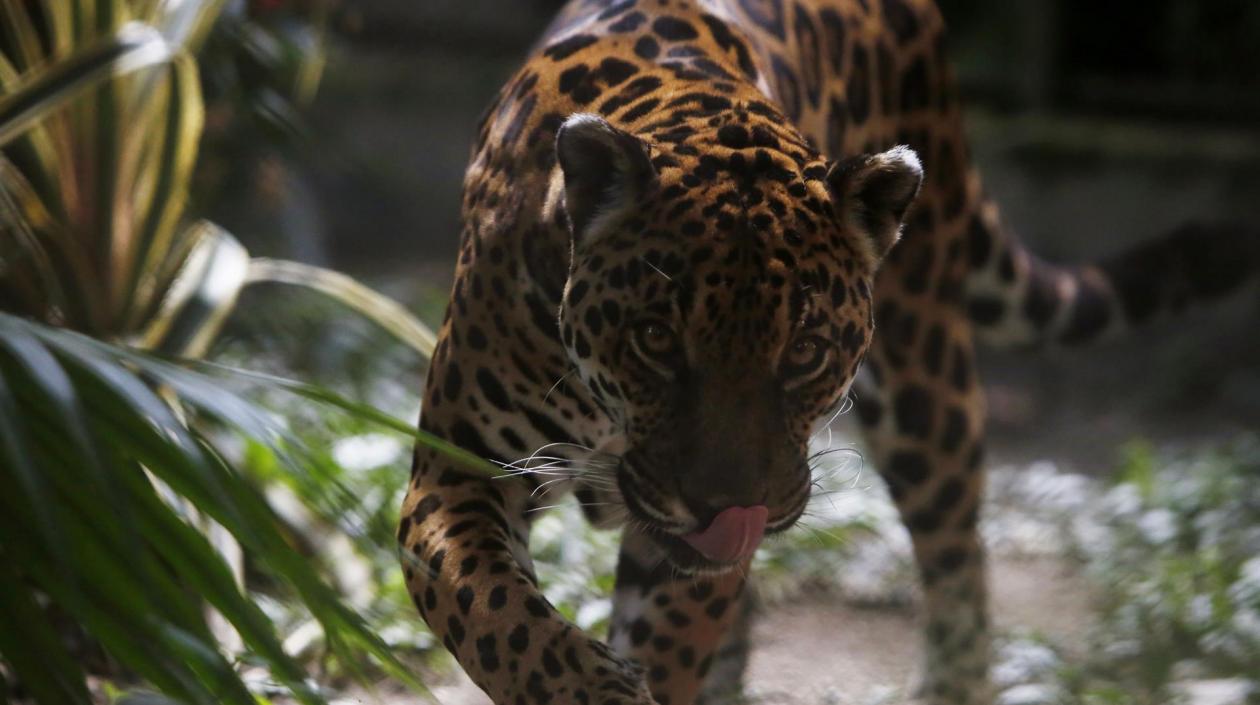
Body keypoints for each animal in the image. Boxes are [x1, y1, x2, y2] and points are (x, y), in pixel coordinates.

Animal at [398, 1, 1259, 703]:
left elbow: (670, 638)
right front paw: (594, 685)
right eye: (655, 339)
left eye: (806, 349)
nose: (728, 507)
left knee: (959, 558)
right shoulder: (456, 469)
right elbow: (501, 620)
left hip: (926, 384)